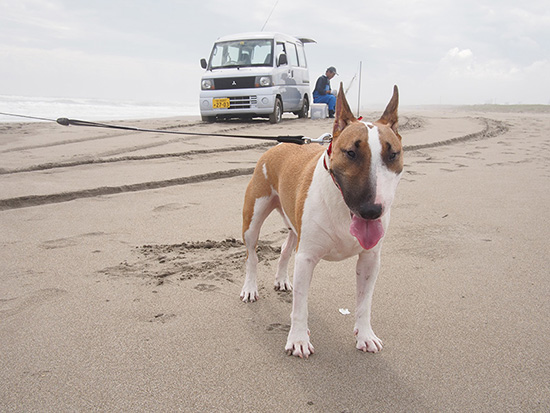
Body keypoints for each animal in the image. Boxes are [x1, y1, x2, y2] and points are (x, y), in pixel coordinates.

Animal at [239, 84, 404, 358]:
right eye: (350, 153)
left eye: (393, 154)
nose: (371, 211)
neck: (342, 207)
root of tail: (279, 145)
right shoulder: (306, 258)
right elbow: (300, 306)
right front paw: (298, 340)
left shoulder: (370, 259)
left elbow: (365, 302)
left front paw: (366, 335)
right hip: (253, 217)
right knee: (252, 254)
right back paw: (250, 288)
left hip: (294, 224)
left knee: (285, 248)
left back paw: (282, 279)